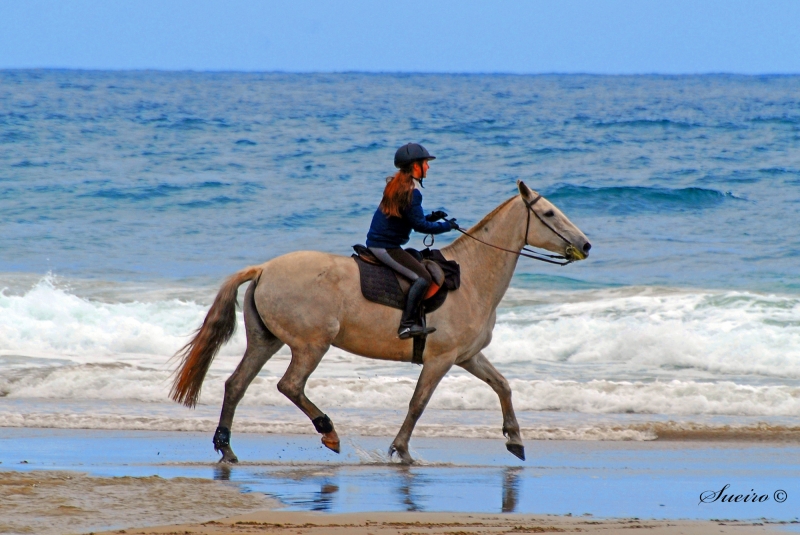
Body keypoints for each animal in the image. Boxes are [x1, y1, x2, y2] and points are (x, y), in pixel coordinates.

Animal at [172, 181, 592, 464]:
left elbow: (503, 386)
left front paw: (515, 440)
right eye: (549, 214)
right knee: (289, 385)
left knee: (236, 385)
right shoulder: (440, 359)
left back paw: (226, 448)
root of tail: (263, 270)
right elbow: (418, 403)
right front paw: (401, 450)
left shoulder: (466, 357)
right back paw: (329, 432)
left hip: (266, 341)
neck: (471, 277)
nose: (586, 245)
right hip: (311, 345)